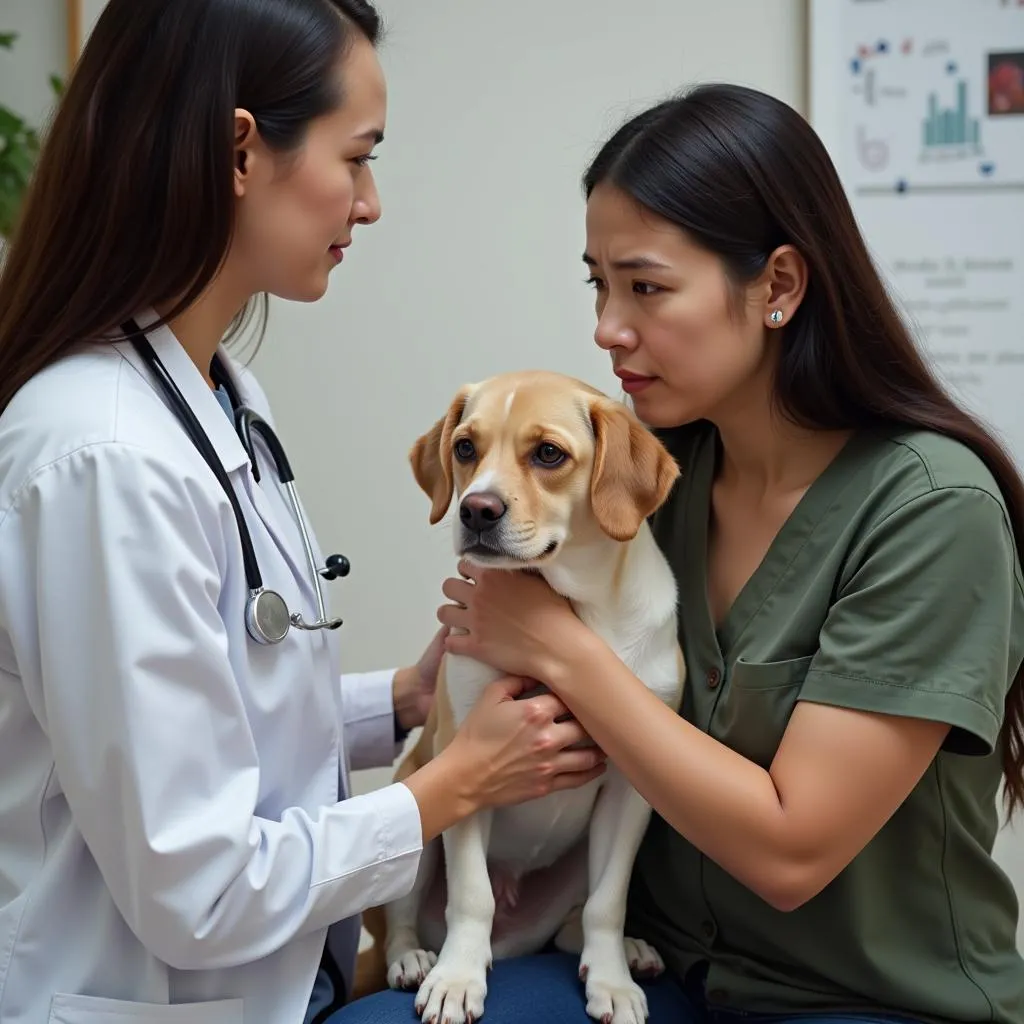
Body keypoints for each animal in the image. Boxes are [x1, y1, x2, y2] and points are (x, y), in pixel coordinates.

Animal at [356, 372, 684, 1024]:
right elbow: (471, 896)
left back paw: (628, 952)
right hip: (419, 806)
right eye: (464, 447)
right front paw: (458, 979)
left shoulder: (630, 792)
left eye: (549, 454)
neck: (580, 611)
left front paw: (611, 982)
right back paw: (415, 961)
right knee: (403, 924)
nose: (475, 510)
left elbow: (609, 903)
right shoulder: (468, 764)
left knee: (573, 924)